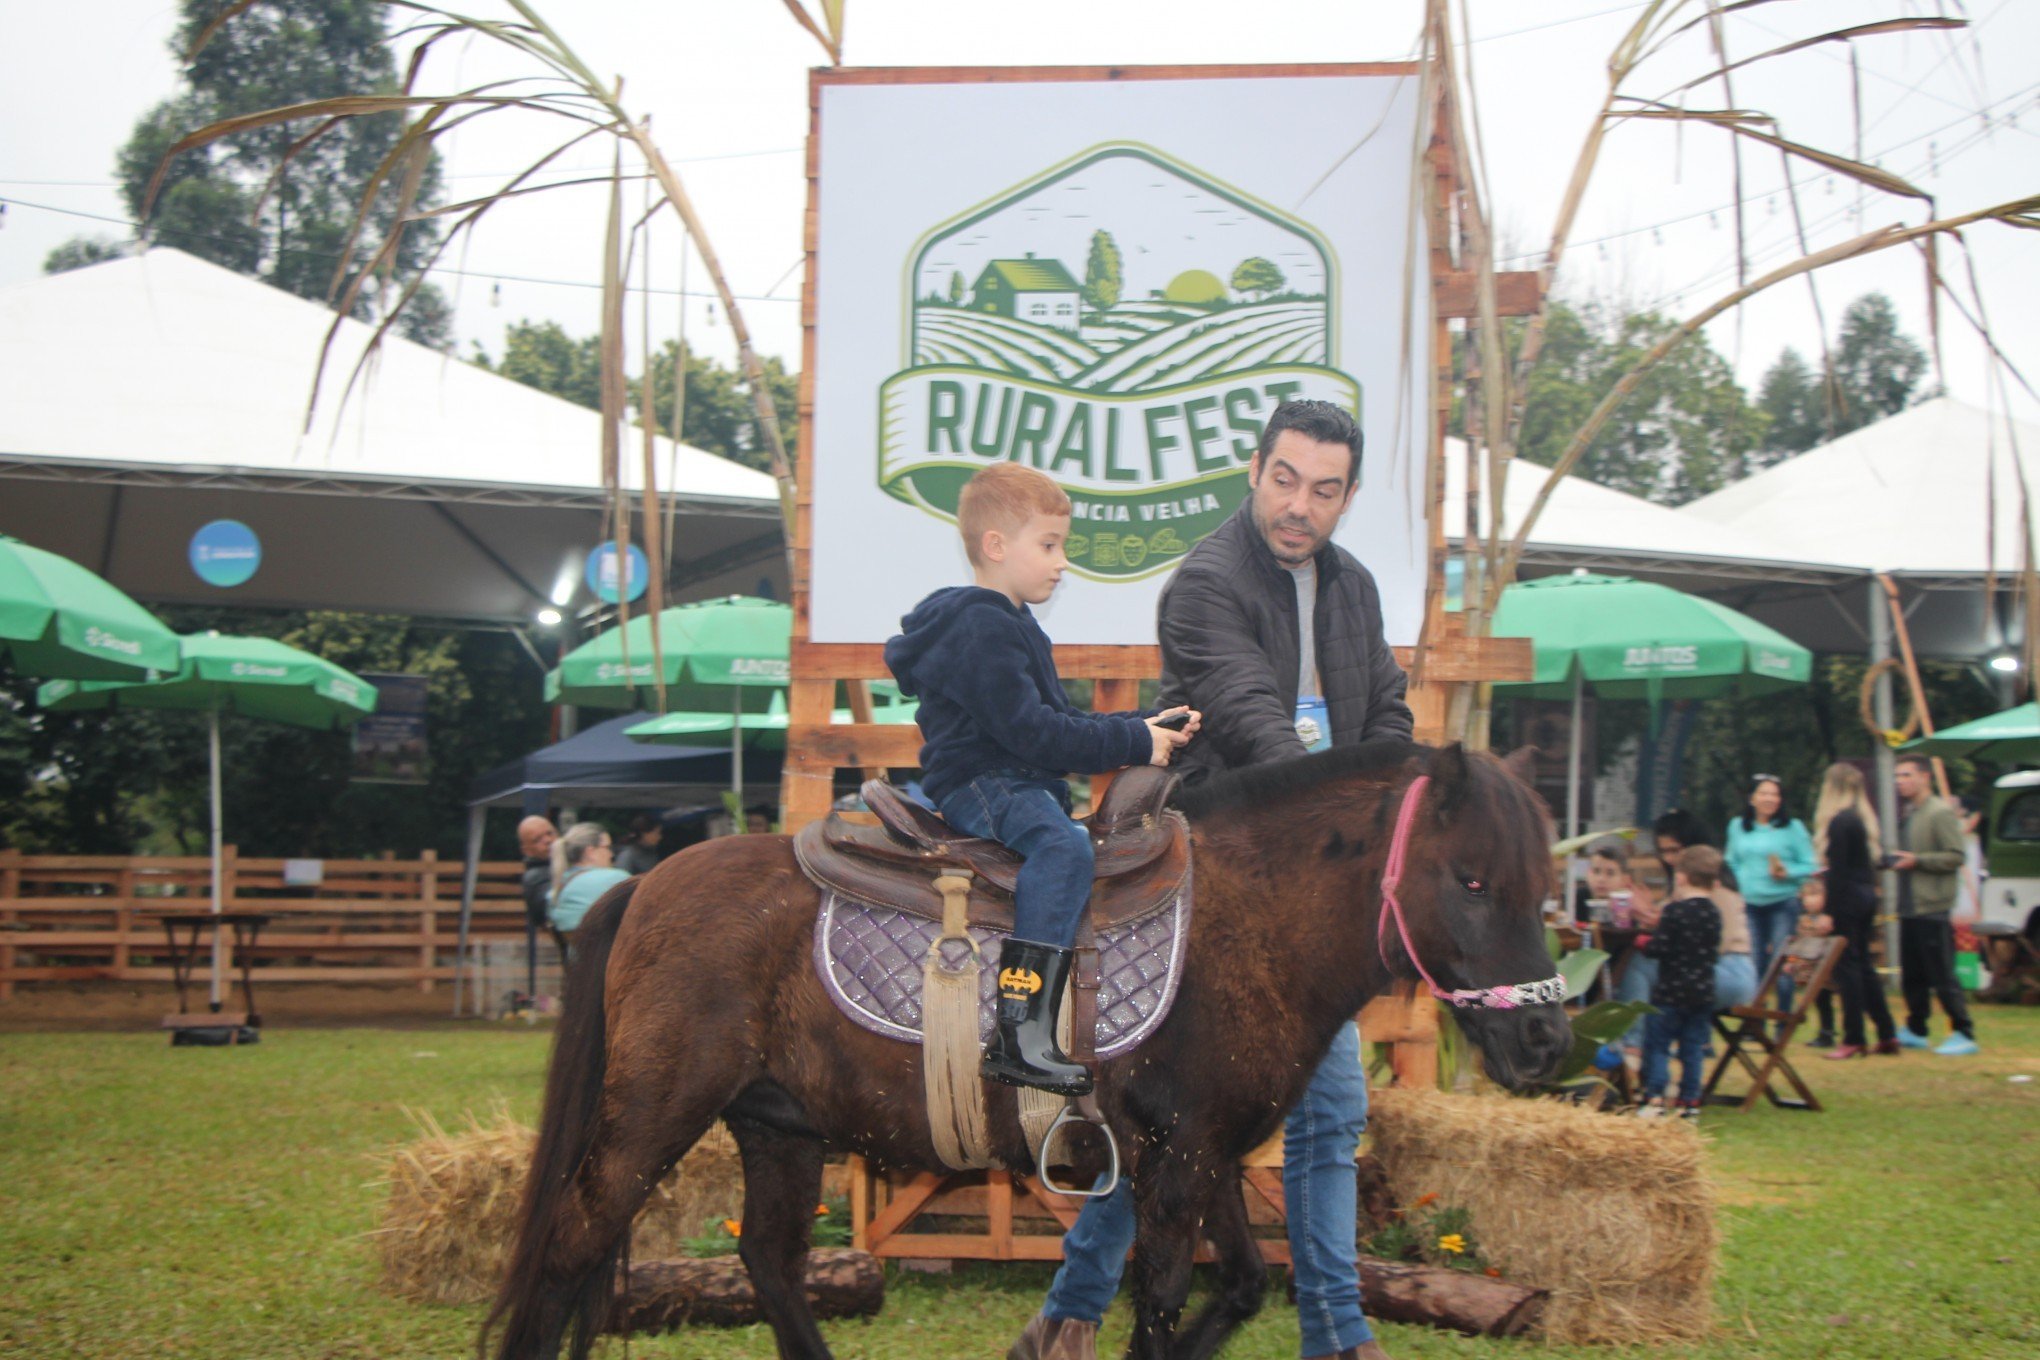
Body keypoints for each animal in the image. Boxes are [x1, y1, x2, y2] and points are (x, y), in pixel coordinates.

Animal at [485, 746, 1566, 1360]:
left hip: (776, 1123)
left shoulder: (1205, 1154)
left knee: (770, 1259)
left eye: (1543, 880)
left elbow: (1243, 1285)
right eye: (1474, 878)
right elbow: (1162, 1304)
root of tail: (646, 883)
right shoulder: (1176, 1164)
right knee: (572, 1240)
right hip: (651, 1116)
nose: (1547, 1035)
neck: (1249, 922)